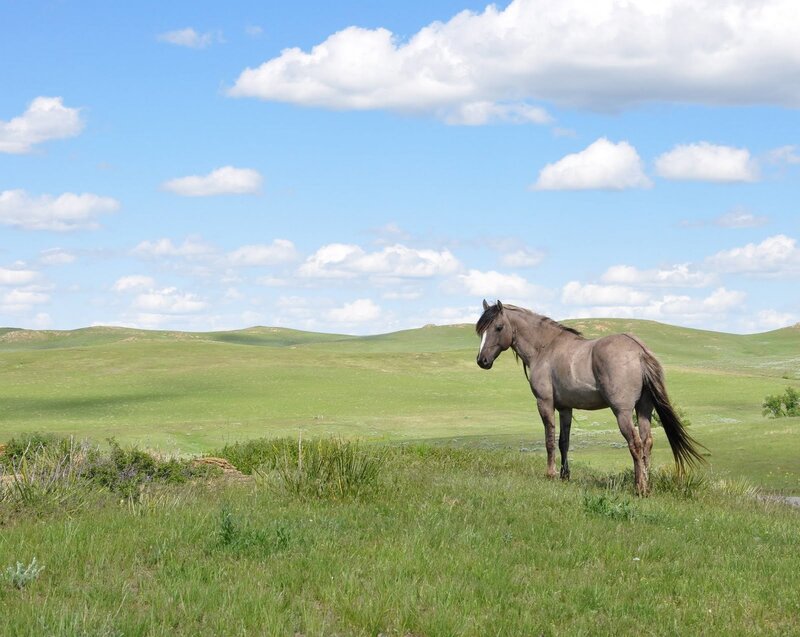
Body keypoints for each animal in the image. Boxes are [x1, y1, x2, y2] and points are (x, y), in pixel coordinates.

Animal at [475, 300, 706, 495]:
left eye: (498, 327)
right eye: (481, 330)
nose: (481, 360)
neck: (545, 348)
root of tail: (639, 351)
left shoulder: (545, 403)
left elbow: (549, 440)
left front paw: (550, 474)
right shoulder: (565, 408)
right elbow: (564, 442)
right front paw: (564, 476)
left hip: (623, 412)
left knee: (635, 444)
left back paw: (640, 488)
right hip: (644, 409)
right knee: (647, 442)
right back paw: (646, 484)